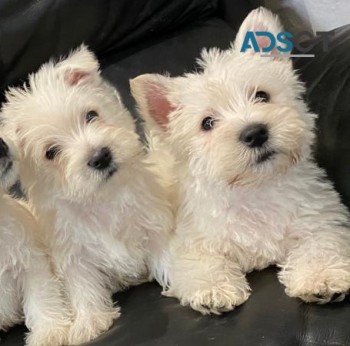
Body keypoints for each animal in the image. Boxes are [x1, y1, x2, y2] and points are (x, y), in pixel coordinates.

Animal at [131, 8, 350, 314]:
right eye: (207, 123)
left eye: (262, 95)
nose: (255, 133)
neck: (255, 188)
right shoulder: (191, 239)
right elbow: (199, 262)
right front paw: (213, 288)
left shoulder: (320, 218)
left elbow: (320, 243)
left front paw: (321, 277)